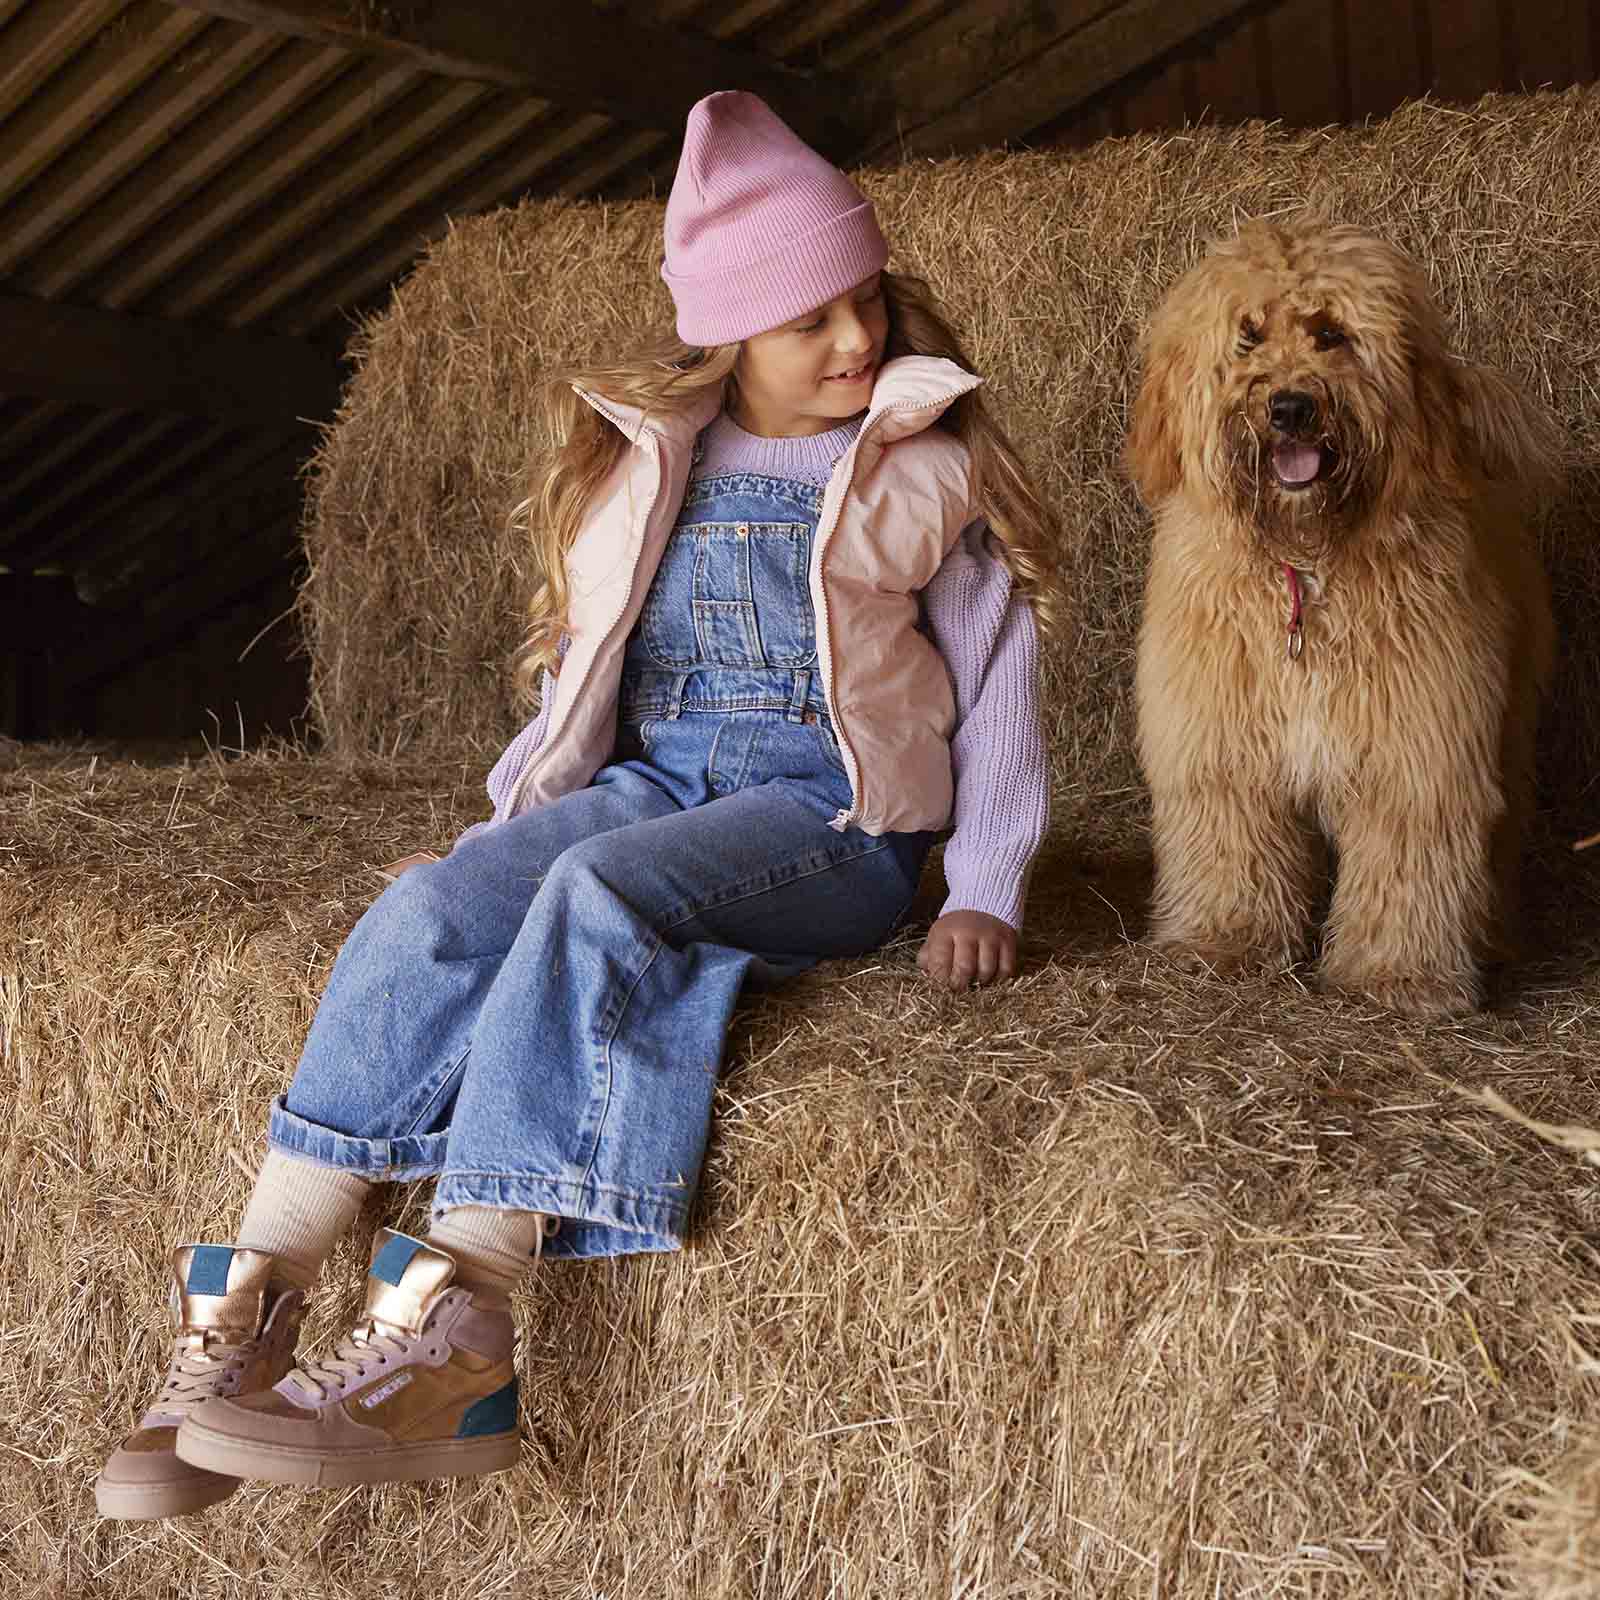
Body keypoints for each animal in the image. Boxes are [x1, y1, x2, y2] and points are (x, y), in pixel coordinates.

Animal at [1120, 216, 1555, 1011]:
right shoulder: (1224, 749)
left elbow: (1407, 855)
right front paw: (1226, 940)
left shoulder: (1419, 750)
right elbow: (1233, 839)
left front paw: (1401, 972)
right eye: (1247, 337)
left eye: (1331, 333)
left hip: (1508, 715)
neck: (1308, 563)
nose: (1291, 407)